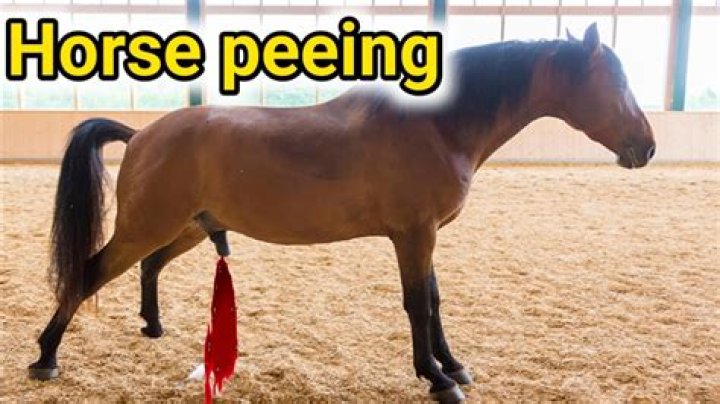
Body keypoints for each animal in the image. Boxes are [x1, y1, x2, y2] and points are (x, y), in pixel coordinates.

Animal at [29, 23, 655, 402]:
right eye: (615, 80)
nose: (646, 147)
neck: (435, 126)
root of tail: (142, 134)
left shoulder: (424, 236)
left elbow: (434, 301)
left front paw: (453, 367)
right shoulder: (413, 235)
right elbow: (418, 304)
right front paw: (436, 377)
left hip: (185, 228)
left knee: (149, 266)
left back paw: (152, 327)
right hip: (146, 227)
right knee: (88, 273)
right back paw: (46, 357)